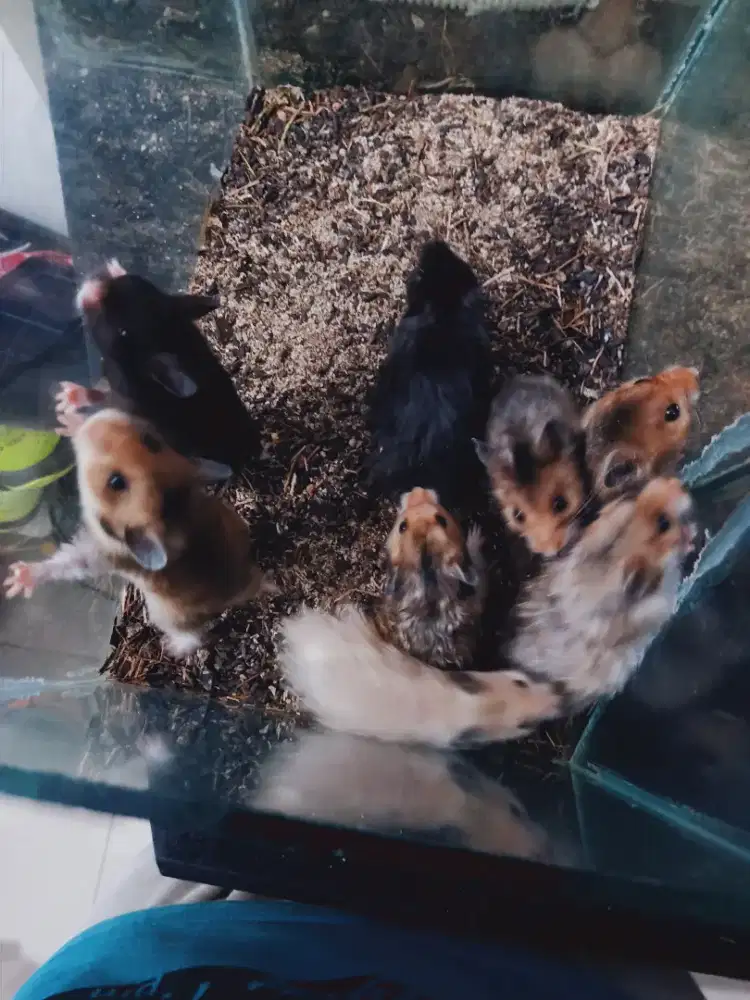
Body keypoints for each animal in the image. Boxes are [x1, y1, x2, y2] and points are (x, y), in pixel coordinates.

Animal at [3, 401, 275, 657]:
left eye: (116, 482)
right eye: (151, 441)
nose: (101, 418)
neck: (177, 514)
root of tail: (243, 588)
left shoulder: (101, 555)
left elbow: (68, 564)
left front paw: (14, 580)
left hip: (166, 616)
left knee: (194, 637)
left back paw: (173, 648)